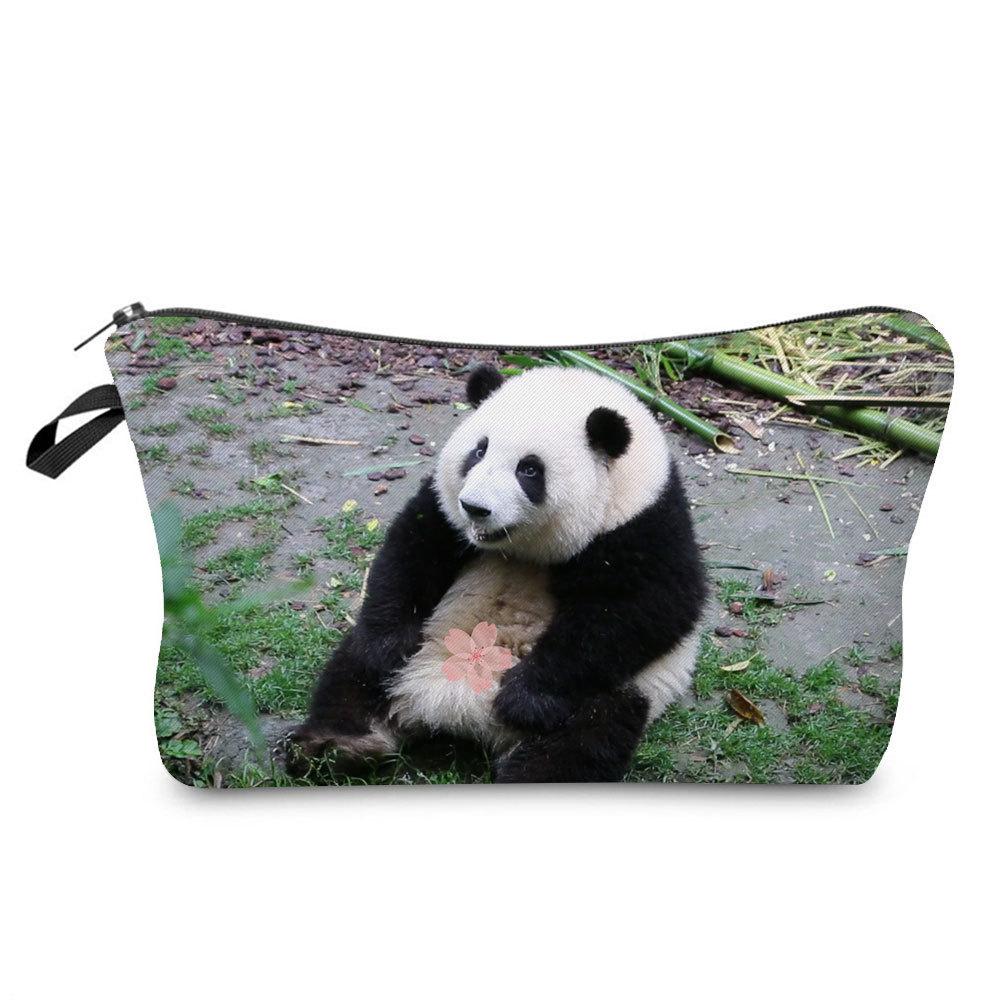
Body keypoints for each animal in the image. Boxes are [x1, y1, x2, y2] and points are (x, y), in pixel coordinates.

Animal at [287, 363, 707, 782]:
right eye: (478, 450)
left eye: (529, 469)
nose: (475, 507)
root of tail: (453, 712)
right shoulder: (443, 510)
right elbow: (411, 553)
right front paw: (388, 644)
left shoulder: (644, 523)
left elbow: (642, 610)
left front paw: (525, 697)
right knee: (352, 676)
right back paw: (334, 747)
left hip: (616, 693)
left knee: (585, 738)